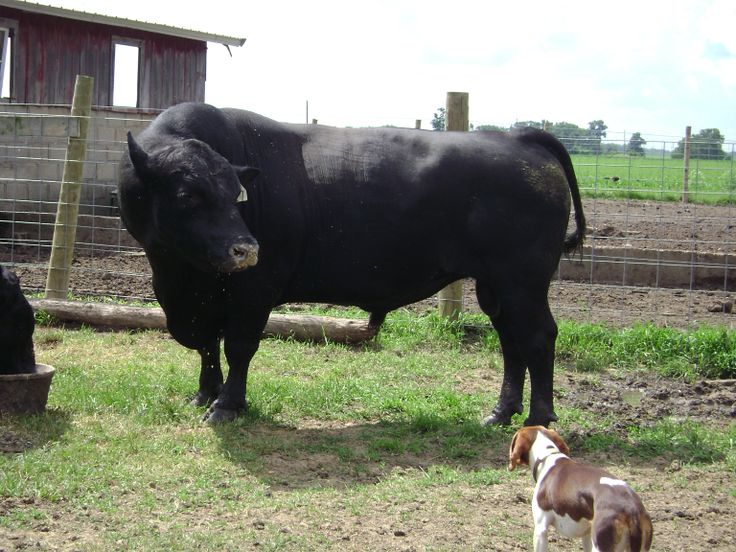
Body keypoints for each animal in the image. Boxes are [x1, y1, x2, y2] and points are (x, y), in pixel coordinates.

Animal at [118, 102, 585, 426]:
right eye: (187, 195)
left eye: (236, 194)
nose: (246, 249)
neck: (179, 277)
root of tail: (518, 138)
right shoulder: (197, 299)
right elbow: (206, 346)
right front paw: (205, 393)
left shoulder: (253, 292)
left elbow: (237, 346)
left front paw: (227, 405)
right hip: (496, 286)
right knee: (511, 341)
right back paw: (501, 412)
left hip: (523, 280)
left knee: (538, 336)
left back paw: (538, 418)